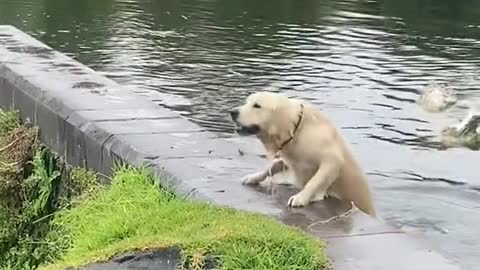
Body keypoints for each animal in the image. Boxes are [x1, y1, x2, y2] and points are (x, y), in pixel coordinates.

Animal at [231, 92, 376, 217]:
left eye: (257, 105)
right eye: (247, 102)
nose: (232, 112)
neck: (296, 130)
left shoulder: (332, 160)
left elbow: (315, 180)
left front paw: (300, 198)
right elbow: (273, 165)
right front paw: (252, 177)